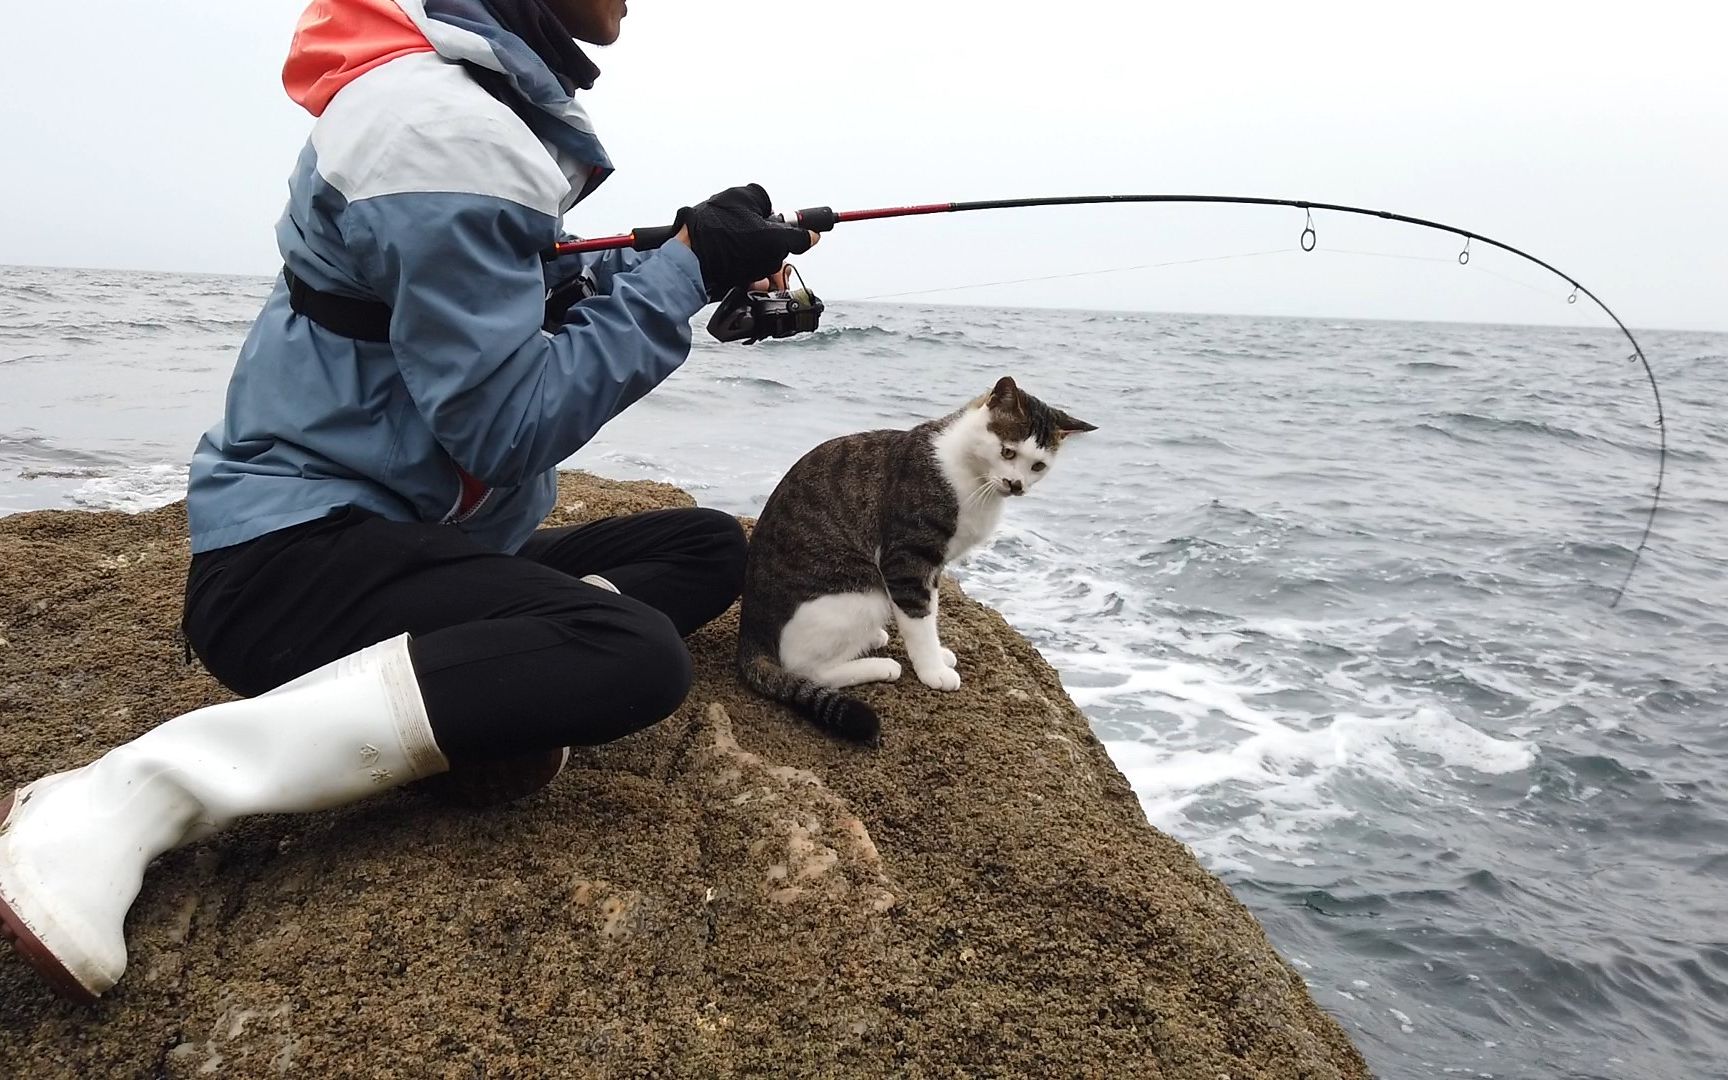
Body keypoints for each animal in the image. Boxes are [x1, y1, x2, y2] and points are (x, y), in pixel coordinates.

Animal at [739, 376, 1092, 739]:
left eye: (1038, 466)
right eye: (1008, 451)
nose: (1017, 484)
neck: (969, 476)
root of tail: (750, 639)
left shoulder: (934, 566)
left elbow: (931, 610)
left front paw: (938, 653)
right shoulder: (907, 559)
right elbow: (918, 619)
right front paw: (932, 669)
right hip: (862, 592)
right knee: (807, 669)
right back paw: (881, 665)